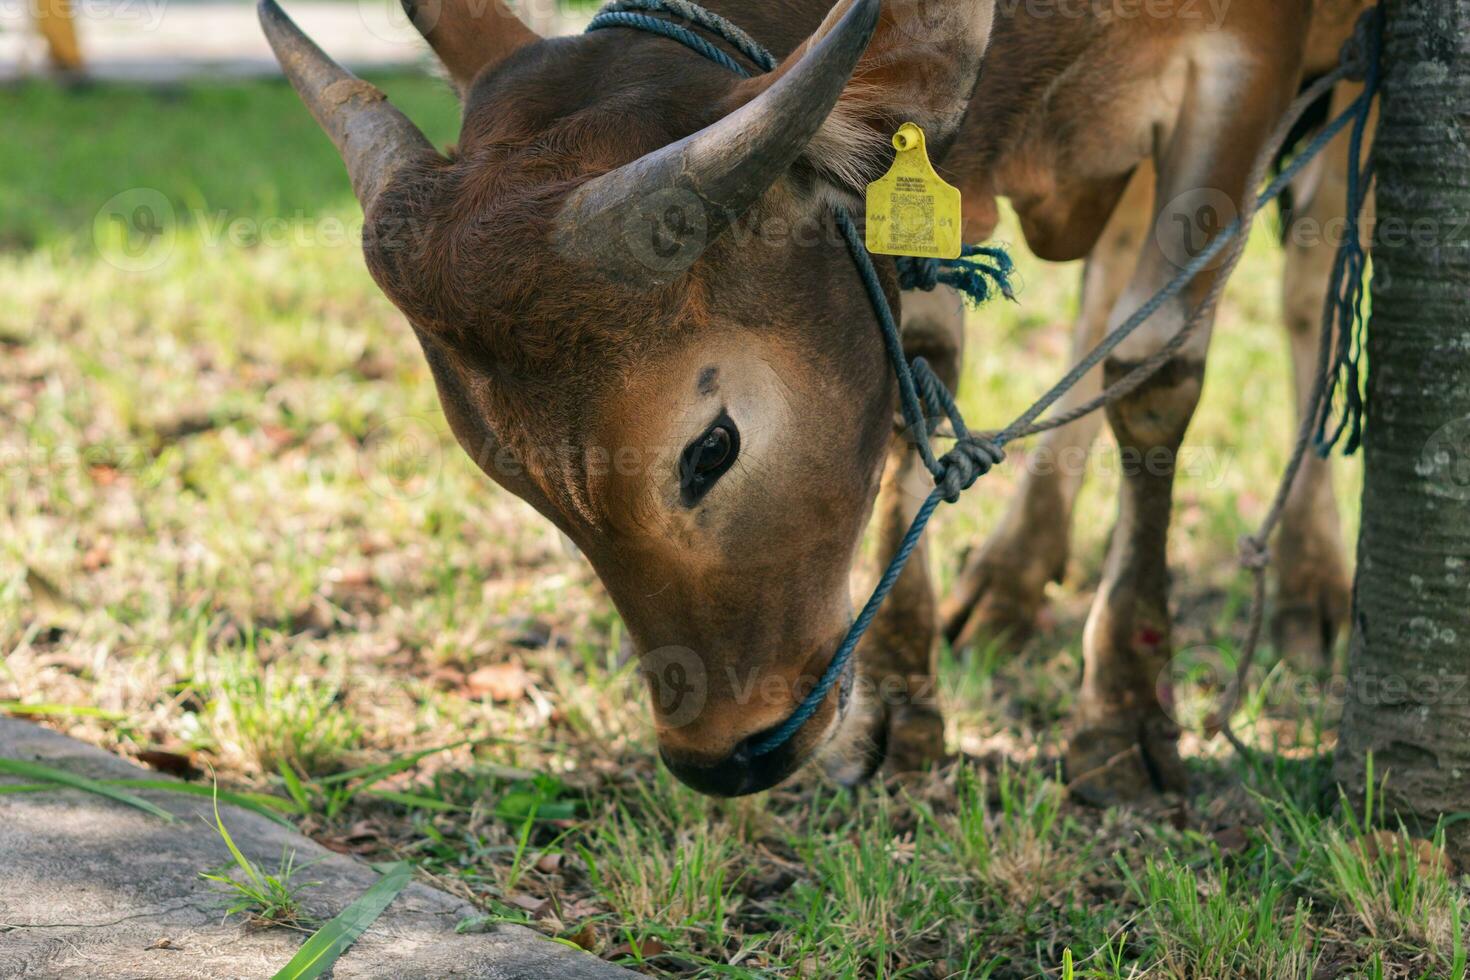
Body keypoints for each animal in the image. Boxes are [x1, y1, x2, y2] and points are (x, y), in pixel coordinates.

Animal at [261, 0, 1364, 799]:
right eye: (515, 479)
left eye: (711, 449)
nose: (721, 757)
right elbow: (922, 367)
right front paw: (900, 710)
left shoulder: (1249, 65)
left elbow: (1162, 365)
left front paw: (1124, 715)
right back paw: (1014, 572)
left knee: (1309, 285)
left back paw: (1308, 580)